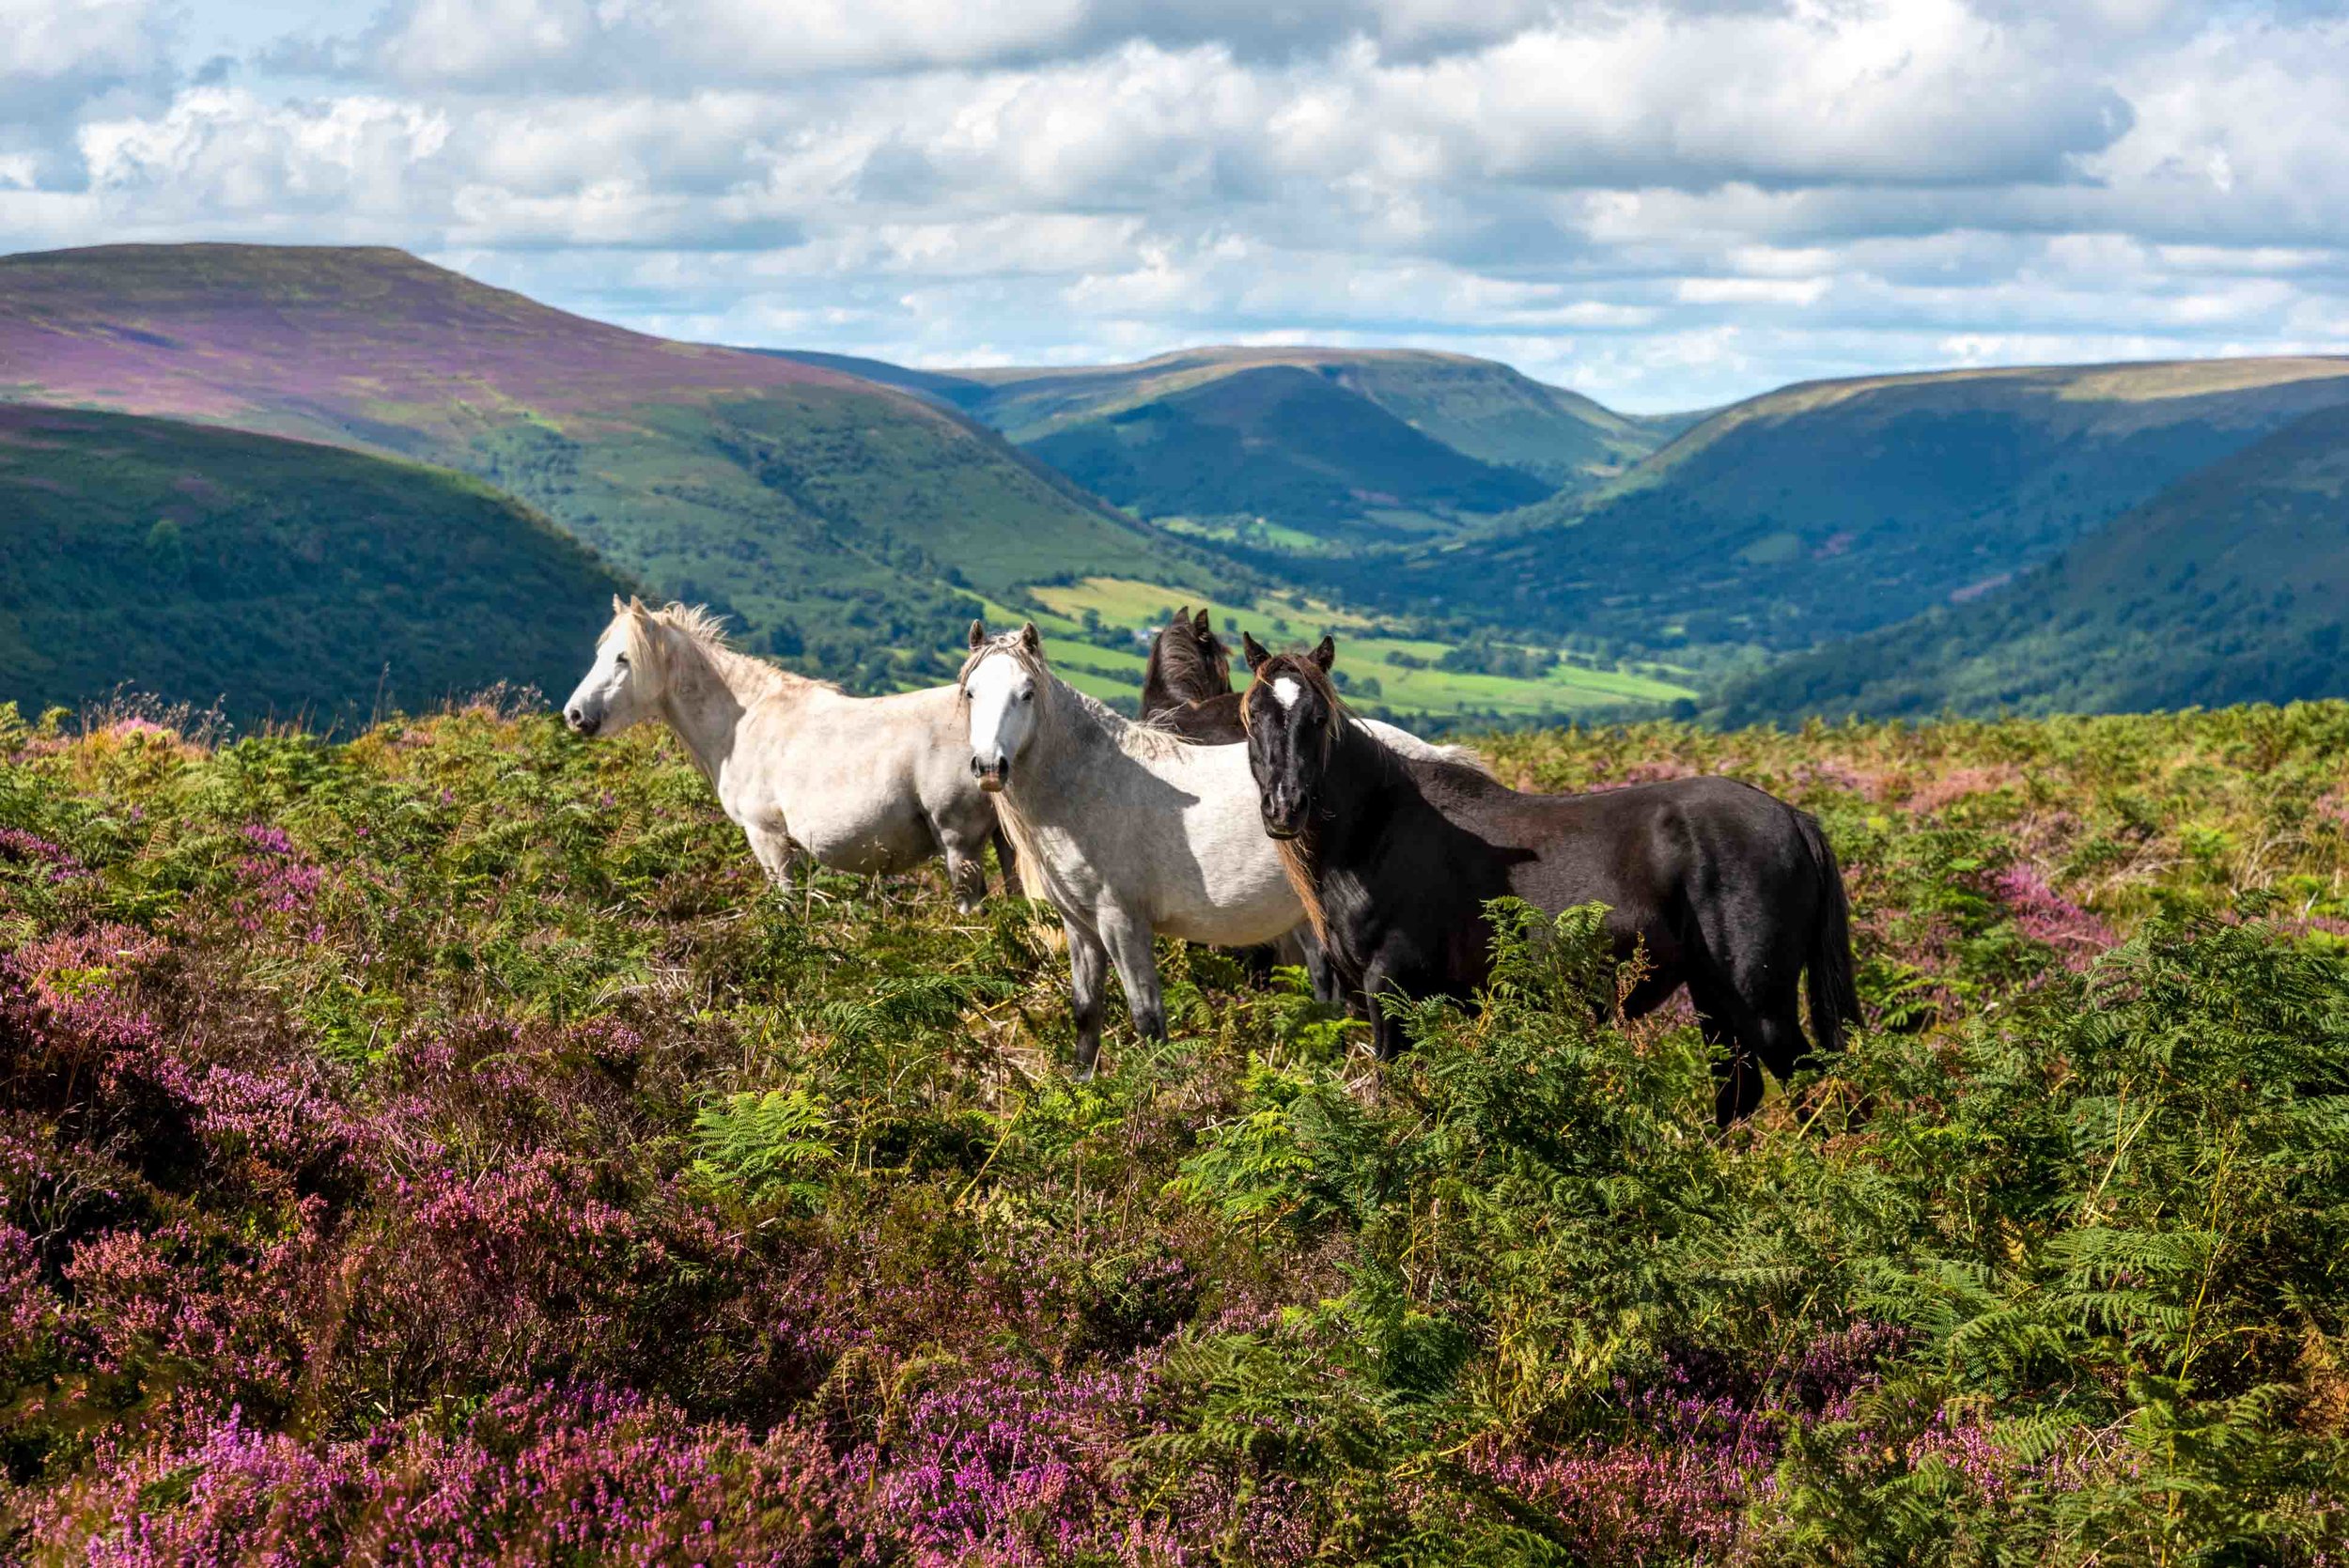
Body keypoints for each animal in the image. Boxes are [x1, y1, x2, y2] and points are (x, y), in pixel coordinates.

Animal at [573, 605, 1015, 920]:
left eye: (623, 658)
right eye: (599, 653)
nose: (575, 714)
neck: (744, 721)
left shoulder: (767, 836)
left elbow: (786, 901)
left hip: (959, 846)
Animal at [1240, 638, 1860, 1126]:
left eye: (1317, 719)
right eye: (1255, 718)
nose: (1284, 808)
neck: (1379, 827)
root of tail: (1792, 817)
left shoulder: (1391, 989)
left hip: (1761, 1003)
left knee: (1822, 1091)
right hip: (1713, 996)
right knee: (1741, 1092)